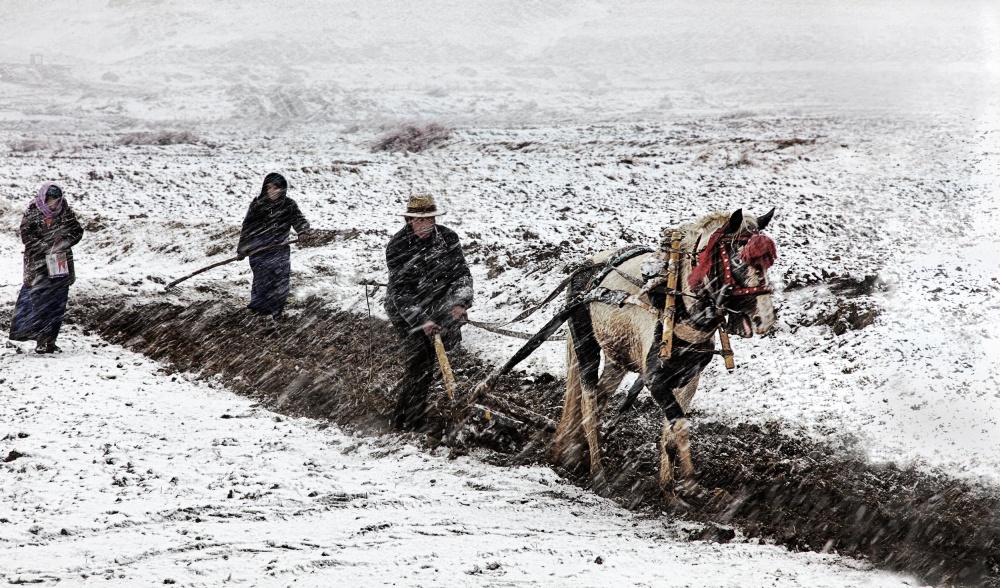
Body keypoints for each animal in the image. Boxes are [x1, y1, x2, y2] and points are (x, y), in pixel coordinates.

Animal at [552, 208, 776, 506]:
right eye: (738, 258)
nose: (766, 318)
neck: (680, 304)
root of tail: (588, 266)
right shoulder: (655, 379)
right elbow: (680, 425)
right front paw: (691, 484)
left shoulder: (689, 377)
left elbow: (670, 433)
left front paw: (670, 493)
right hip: (586, 345)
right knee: (588, 404)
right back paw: (598, 475)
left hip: (617, 358)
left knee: (600, 398)